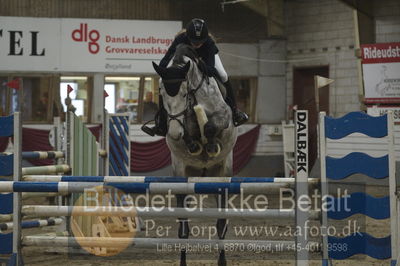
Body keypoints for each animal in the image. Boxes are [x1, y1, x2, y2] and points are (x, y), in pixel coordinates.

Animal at [152, 44, 236, 264]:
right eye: (161, 93)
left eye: (184, 93)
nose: (174, 132)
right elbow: (191, 133)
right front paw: (194, 144)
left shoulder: (223, 116)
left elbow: (210, 126)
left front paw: (210, 144)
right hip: (183, 173)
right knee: (184, 225)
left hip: (222, 173)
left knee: (221, 224)